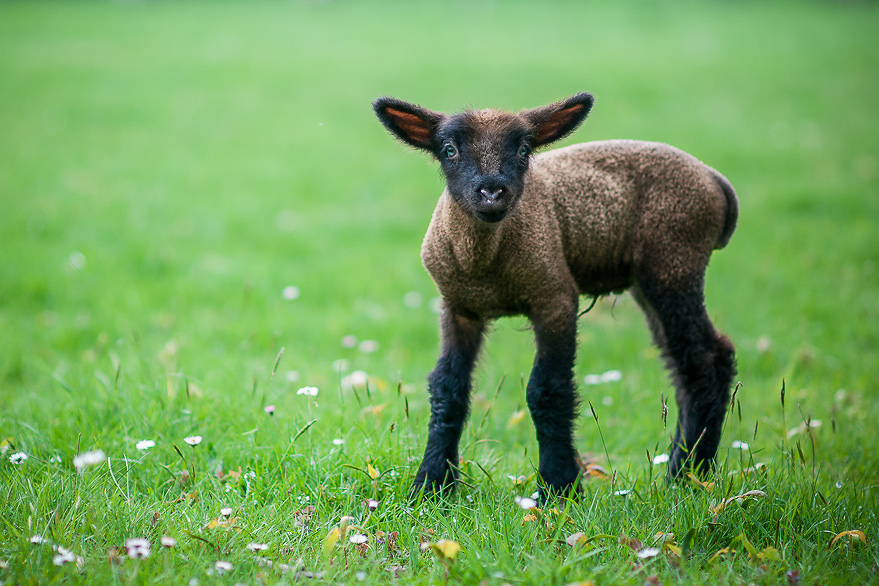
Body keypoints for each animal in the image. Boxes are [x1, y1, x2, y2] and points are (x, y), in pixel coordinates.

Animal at [372, 92, 736, 498]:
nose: (492, 192)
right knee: (686, 365)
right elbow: (448, 390)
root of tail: (714, 180)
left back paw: (689, 473)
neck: (486, 264)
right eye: (449, 150)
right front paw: (431, 485)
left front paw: (559, 487)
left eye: (523, 150)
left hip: (674, 263)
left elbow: (547, 390)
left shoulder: (555, 297)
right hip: (651, 278)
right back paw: (684, 470)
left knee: (706, 361)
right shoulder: (459, 308)